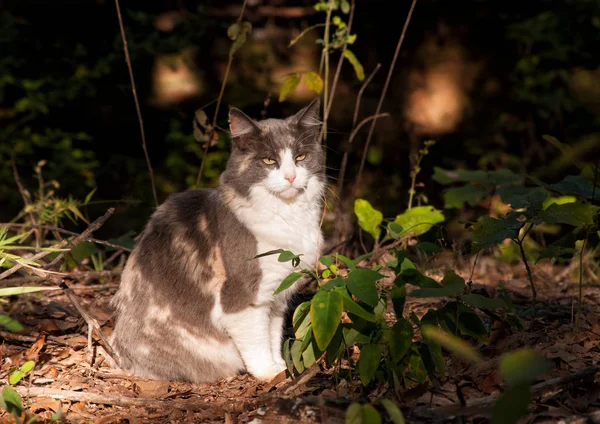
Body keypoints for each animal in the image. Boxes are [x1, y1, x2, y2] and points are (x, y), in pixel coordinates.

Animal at [108, 99, 324, 384]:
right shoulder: (243, 298)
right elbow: (257, 341)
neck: (287, 215)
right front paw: (270, 372)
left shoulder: (276, 297)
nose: (290, 177)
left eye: (300, 157)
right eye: (269, 160)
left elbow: (273, 334)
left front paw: (279, 364)